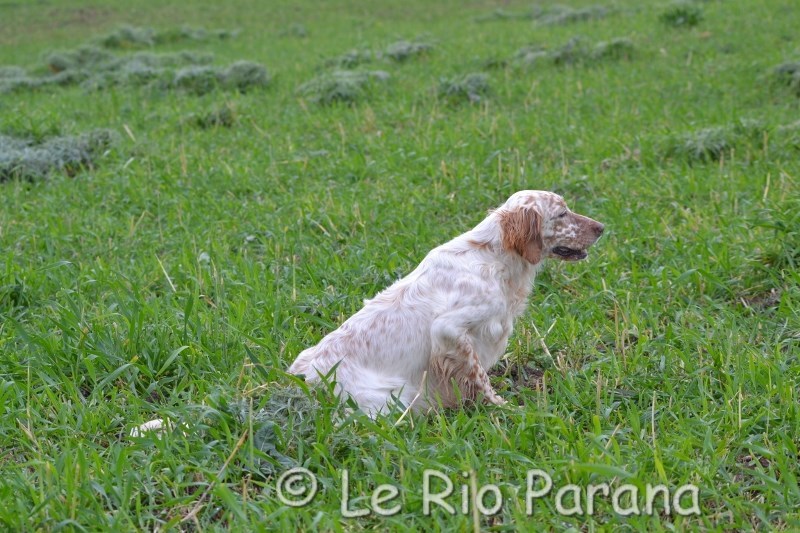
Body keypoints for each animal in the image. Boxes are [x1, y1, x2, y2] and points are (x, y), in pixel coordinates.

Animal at [288, 190, 604, 416]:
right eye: (562, 213)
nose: (601, 227)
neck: (492, 256)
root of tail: (301, 380)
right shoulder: (448, 330)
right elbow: (478, 376)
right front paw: (502, 407)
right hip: (391, 399)